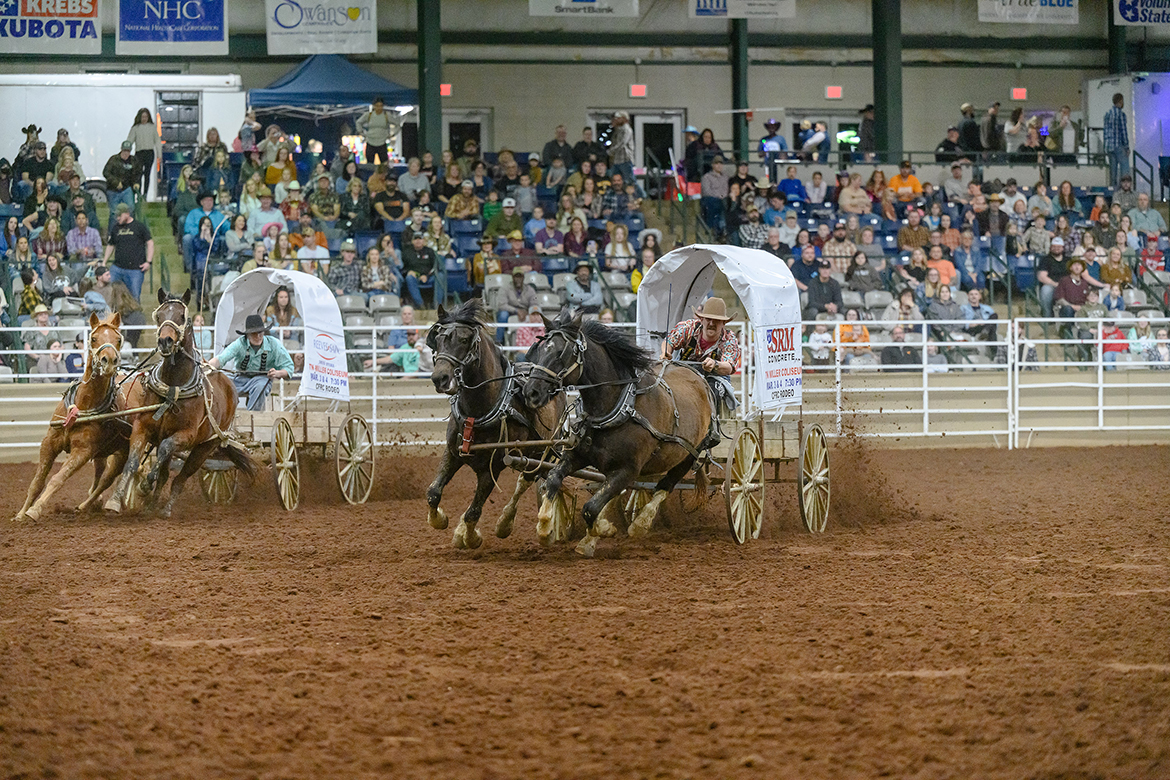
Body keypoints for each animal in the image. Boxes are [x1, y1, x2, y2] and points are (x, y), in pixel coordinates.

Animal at [12, 313, 130, 522]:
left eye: (118, 339)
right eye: (93, 338)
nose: (109, 361)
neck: (83, 405)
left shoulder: (83, 452)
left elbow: (57, 479)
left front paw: (35, 510)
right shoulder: (49, 443)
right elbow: (37, 482)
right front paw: (20, 514)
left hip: (123, 451)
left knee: (106, 480)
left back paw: (88, 505)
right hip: (102, 451)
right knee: (99, 474)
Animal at [106, 288, 257, 516]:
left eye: (182, 316)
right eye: (159, 316)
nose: (165, 341)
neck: (173, 386)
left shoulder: (186, 435)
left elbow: (165, 451)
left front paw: (144, 486)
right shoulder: (142, 427)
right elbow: (132, 464)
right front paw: (115, 501)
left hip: (206, 446)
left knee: (181, 477)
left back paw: (166, 509)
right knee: (166, 473)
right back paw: (151, 506)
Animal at [425, 299, 568, 549]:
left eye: (464, 340)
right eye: (439, 338)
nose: (439, 378)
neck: (479, 410)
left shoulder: (492, 466)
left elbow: (474, 510)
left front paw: (471, 537)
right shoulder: (452, 452)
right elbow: (433, 493)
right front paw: (442, 521)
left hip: (541, 453)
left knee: (526, 483)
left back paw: (507, 523)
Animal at [521, 310, 715, 557]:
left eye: (562, 352)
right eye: (541, 349)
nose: (531, 392)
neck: (616, 408)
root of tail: (697, 374)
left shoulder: (627, 470)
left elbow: (590, 507)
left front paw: (603, 530)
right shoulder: (577, 456)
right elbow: (554, 480)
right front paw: (546, 527)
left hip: (689, 454)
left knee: (665, 486)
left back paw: (639, 524)